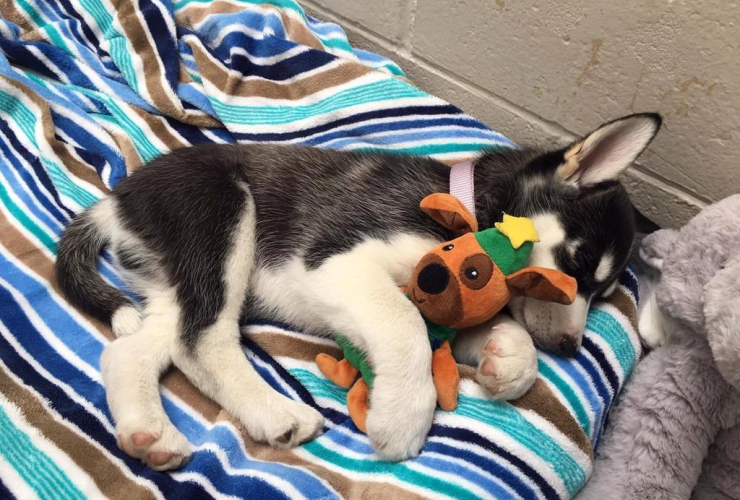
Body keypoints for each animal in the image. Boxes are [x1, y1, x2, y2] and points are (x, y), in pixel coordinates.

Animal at [55, 112, 660, 468]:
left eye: (603, 290)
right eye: (577, 264)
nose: (569, 348)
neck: (469, 206)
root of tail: (117, 198)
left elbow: (484, 330)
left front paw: (507, 358)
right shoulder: (333, 265)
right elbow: (406, 326)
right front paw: (404, 415)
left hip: (174, 282)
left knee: (134, 351)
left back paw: (149, 434)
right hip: (222, 221)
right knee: (202, 340)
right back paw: (276, 414)